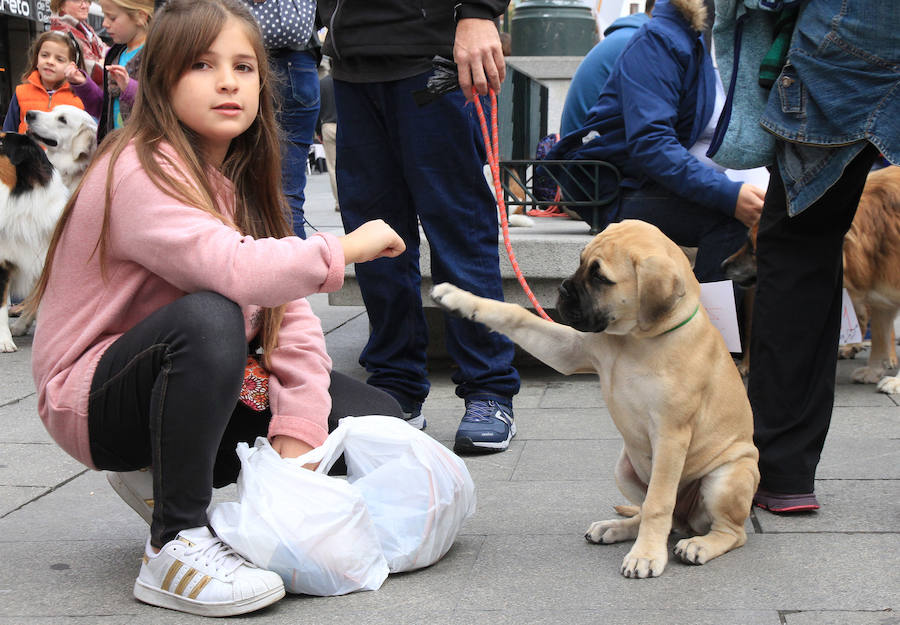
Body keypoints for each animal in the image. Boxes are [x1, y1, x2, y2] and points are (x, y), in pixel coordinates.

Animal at [432, 219, 756, 576]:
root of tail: (689, 522)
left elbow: (659, 502)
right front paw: (458, 297)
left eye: (601, 277)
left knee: (728, 531)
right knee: (655, 514)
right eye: (580, 261)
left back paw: (699, 545)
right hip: (624, 468)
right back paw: (615, 528)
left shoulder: (671, 435)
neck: (634, 341)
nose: (562, 288)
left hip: (727, 476)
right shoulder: (570, 350)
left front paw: (646, 555)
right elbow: (516, 314)